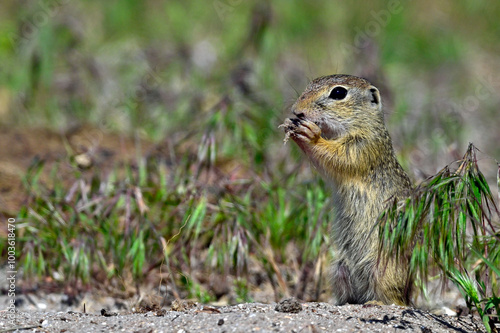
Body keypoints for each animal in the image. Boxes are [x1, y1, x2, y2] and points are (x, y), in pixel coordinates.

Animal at [282, 74, 414, 304]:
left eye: (338, 93)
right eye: (310, 84)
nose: (297, 111)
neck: (362, 125)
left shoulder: (361, 147)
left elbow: (337, 157)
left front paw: (311, 134)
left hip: (382, 269)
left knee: (394, 300)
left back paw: (375, 303)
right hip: (340, 268)